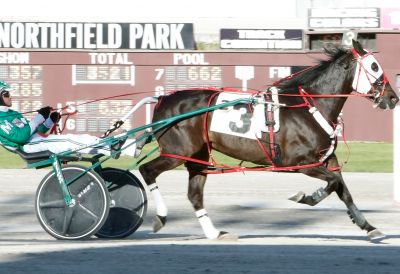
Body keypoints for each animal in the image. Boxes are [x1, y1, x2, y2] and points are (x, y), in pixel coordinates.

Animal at [139, 39, 398, 241]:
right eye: (374, 66)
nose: (393, 98)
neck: (309, 107)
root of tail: (163, 99)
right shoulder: (300, 162)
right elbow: (333, 183)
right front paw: (306, 197)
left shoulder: (327, 159)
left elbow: (343, 189)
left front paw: (369, 227)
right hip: (176, 152)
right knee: (146, 170)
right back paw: (160, 217)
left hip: (197, 156)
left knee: (194, 194)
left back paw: (214, 233)